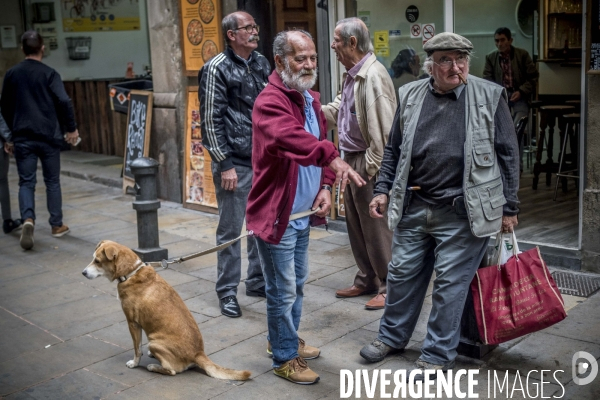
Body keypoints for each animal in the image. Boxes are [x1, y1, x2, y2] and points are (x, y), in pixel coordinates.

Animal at [82, 239, 251, 380]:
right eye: (93, 258)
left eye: (97, 261)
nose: (83, 273)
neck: (131, 272)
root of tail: (198, 354)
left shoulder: (132, 323)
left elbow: (137, 349)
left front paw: (134, 363)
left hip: (154, 342)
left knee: (172, 371)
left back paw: (152, 366)